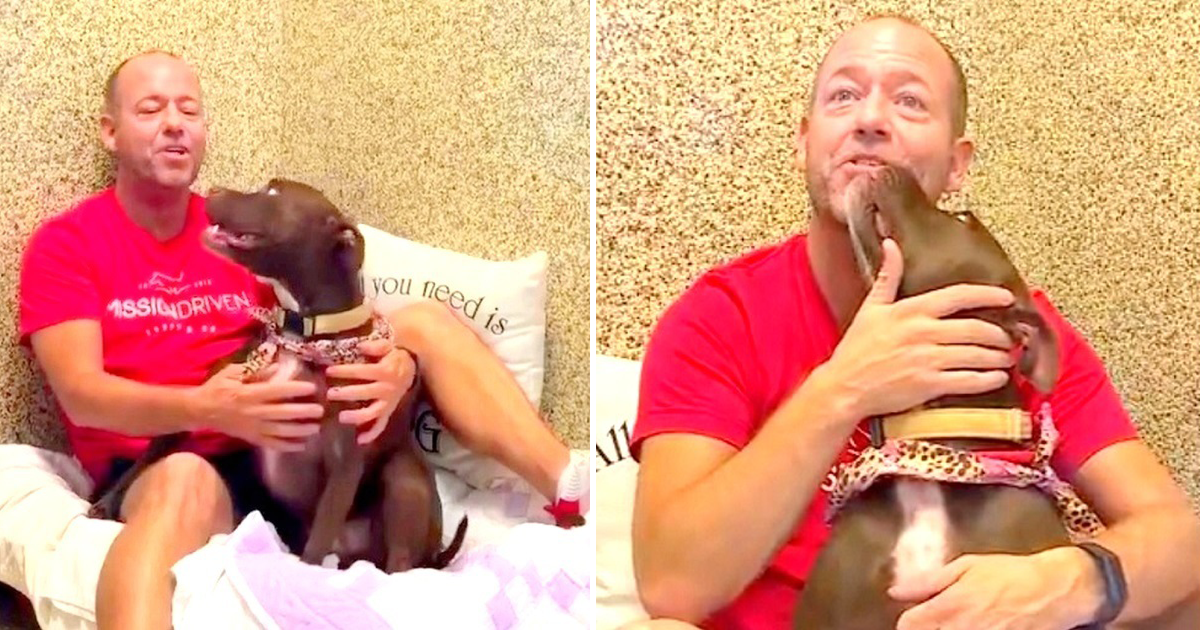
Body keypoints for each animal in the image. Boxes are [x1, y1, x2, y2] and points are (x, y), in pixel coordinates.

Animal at [91, 179, 466, 573]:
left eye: (273, 194)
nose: (214, 188)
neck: (301, 332)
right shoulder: (210, 395)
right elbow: (154, 448)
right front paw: (109, 500)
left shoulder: (344, 464)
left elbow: (317, 545)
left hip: (404, 483)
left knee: (399, 562)